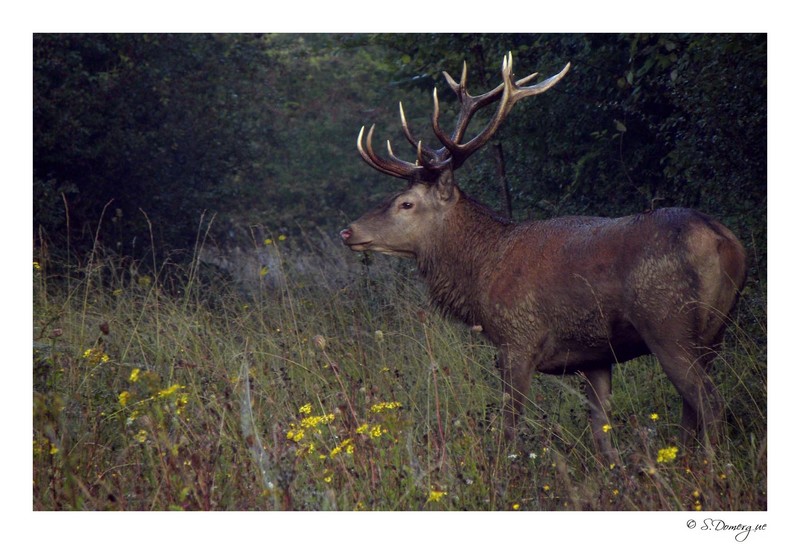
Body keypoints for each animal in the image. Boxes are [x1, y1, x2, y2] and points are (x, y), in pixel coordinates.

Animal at [340, 52, 746, 460]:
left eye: (406, 203)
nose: (348, 231)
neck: (481, 271)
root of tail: (724, 241)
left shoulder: (517, 339)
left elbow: (509, 427)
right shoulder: (596, 356)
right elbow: (601, 432)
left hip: (668, 323)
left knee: (709, 401)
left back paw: (710, 466)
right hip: (715, 331)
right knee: (692, 407)